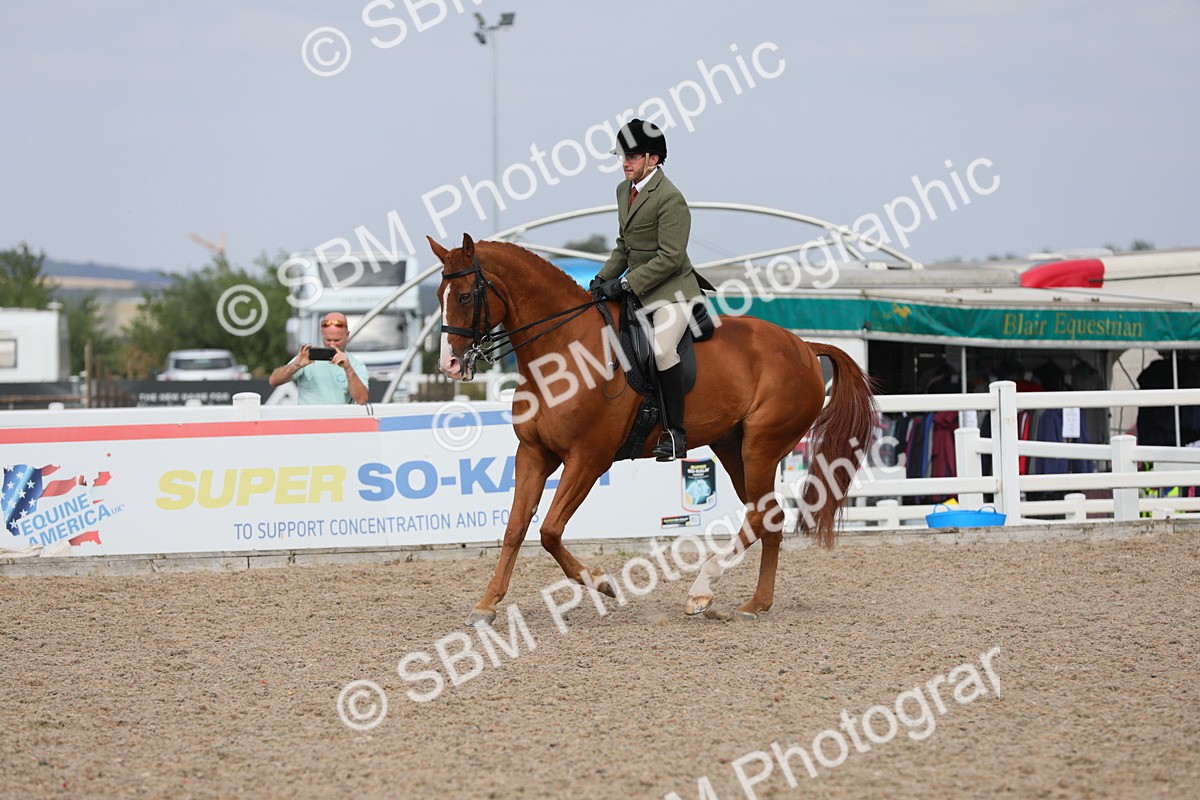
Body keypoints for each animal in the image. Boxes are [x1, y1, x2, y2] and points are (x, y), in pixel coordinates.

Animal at [429, 233, 877, 624]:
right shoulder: (534, 453)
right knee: (768, 517)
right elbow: (515, 529)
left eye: (465, 296)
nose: (449, 365)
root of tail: (805, 347)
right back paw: (756, 603)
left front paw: (602, 583)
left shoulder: (588, 459)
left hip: (761, 448)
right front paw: (486, 605)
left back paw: (700, 592)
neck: (562, 350)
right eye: (438, 297)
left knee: (758, 517)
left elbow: (550, 530)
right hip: (733, 448)